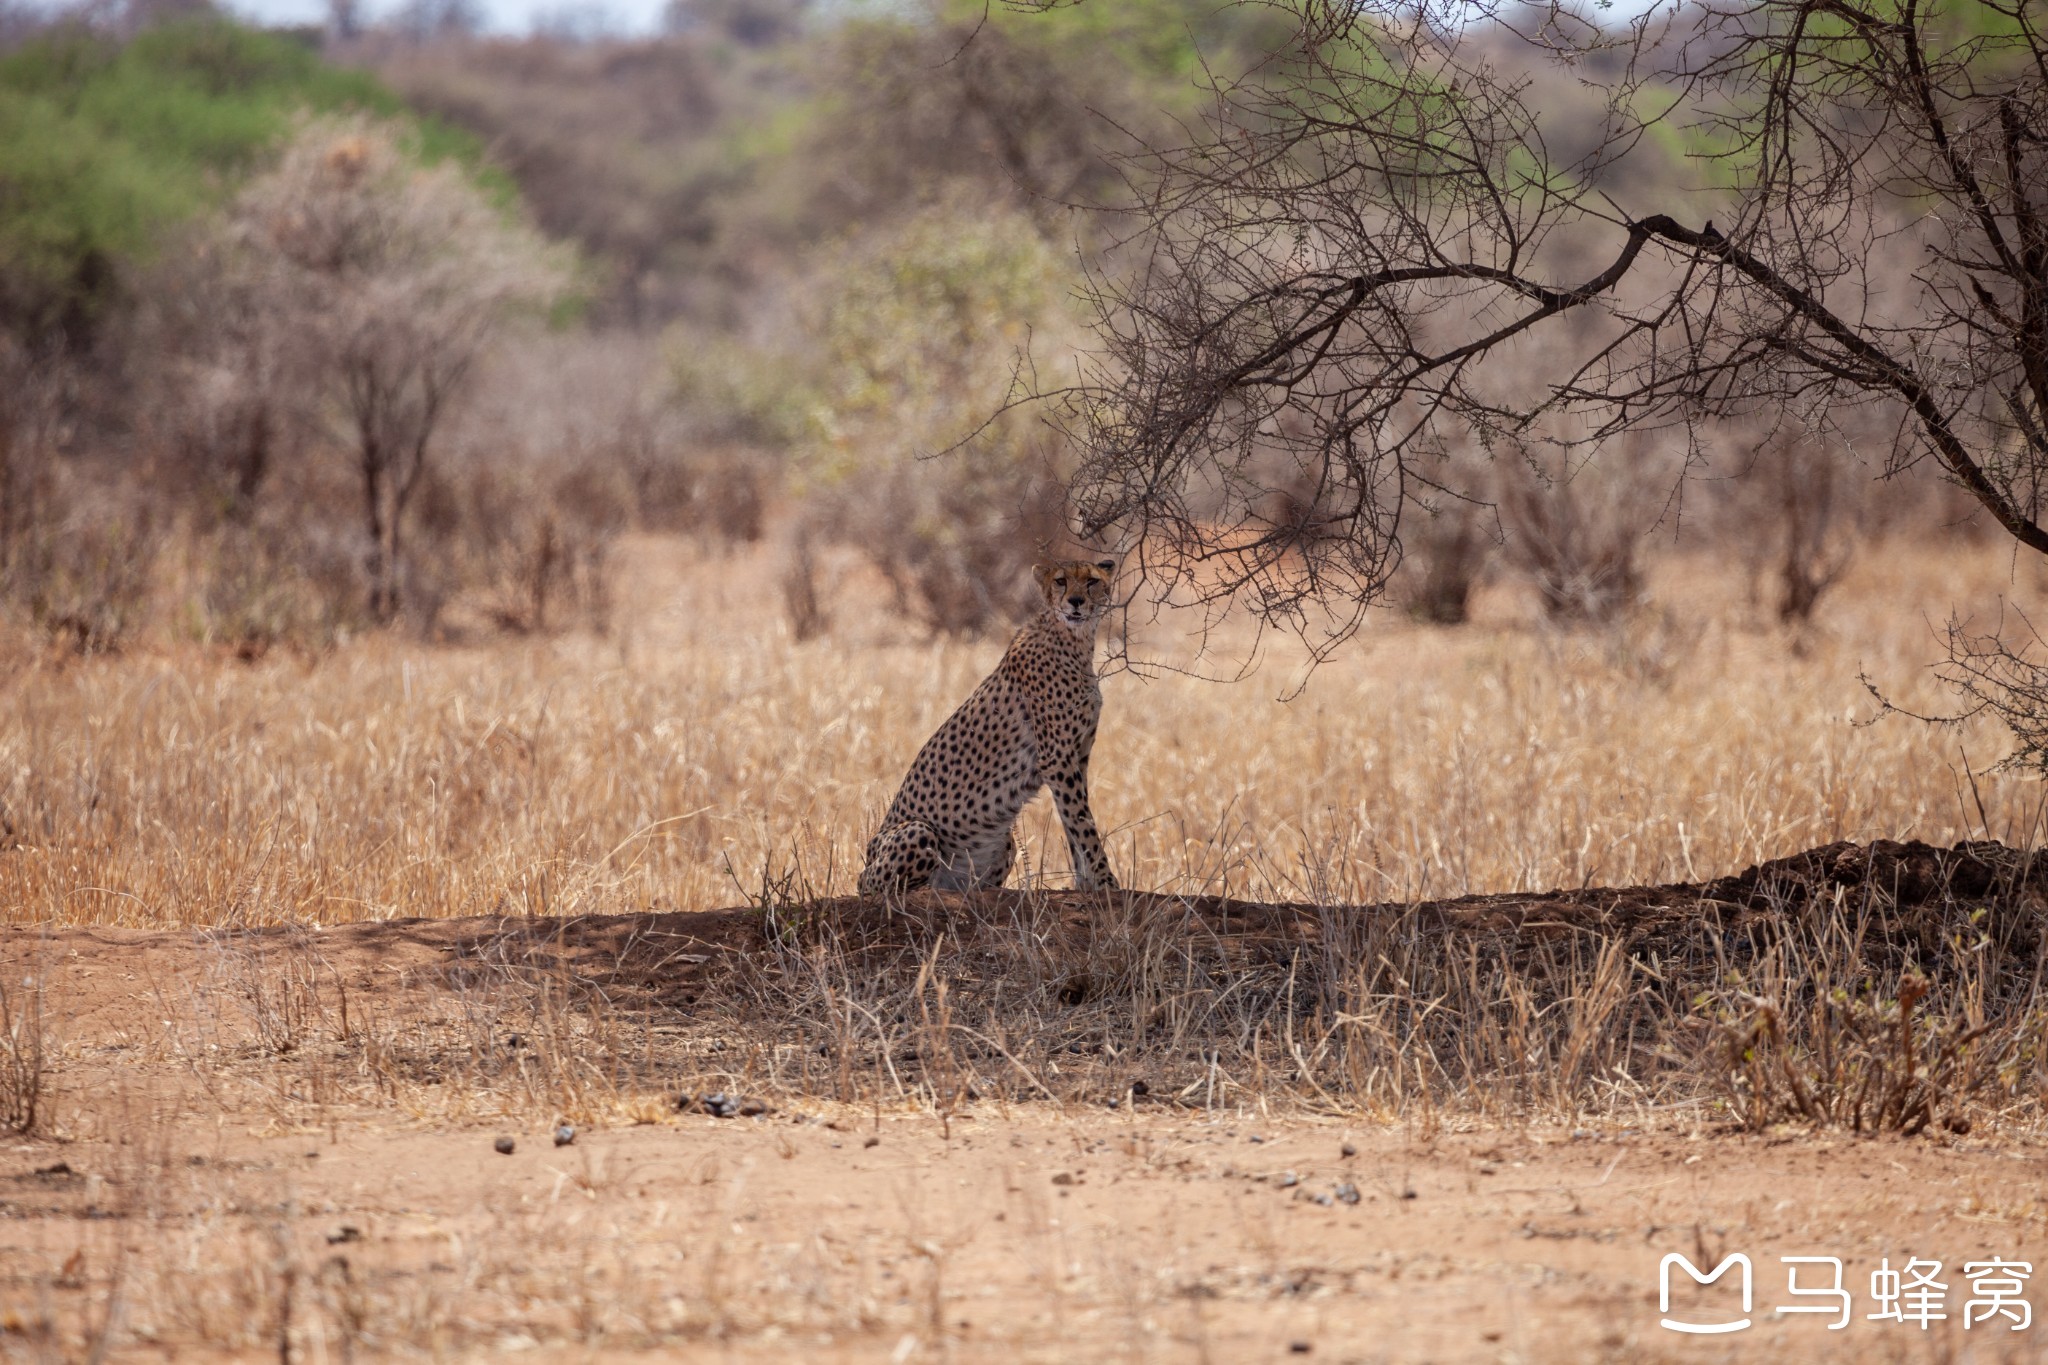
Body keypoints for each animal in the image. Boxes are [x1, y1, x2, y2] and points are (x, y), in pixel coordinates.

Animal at [860, 556, 1130, 896]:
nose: (1076, 601)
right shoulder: (1057, 758)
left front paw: (1085, 883)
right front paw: (1107, 882)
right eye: (1061, 581)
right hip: (917, 831)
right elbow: (1082, 821)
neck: (1075, 640)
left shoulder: (1077, 757)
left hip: (1004, 844)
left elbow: (1073, 823)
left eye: (1092, 581)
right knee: (883, 885)